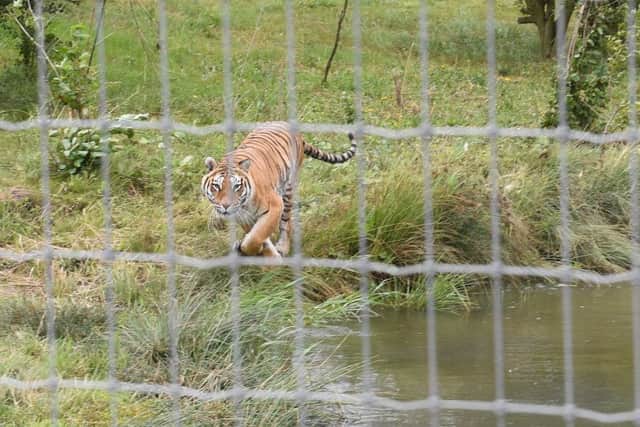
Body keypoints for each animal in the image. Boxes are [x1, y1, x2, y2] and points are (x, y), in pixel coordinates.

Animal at [201, 121, 356, 258]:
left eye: (237, 186)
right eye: (216, 186)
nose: (225, 206)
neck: (244, 206)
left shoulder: (275, 205)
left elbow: (257, 236)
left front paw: (258, 252)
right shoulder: (243, 217)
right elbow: (258, 236)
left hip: (288, 190)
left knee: (286, 224)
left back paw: (283, 247)